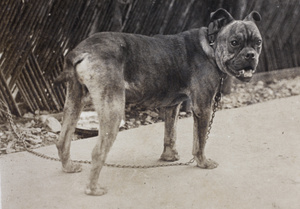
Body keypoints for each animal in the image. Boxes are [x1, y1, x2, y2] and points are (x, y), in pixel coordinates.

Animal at [56, 9, 262, 196]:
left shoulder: (172, 106)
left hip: (74, 102)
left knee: (63, 140)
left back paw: (69, 167)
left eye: (258, 42)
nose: (251, 55)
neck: (211, 45)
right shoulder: (203, 108)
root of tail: (81, 50)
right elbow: (200, 141)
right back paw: (93, 189)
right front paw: (203, 162)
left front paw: (169, 157)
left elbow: (170, 134)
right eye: (234, 42)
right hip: (112, 110)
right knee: (97, 152)